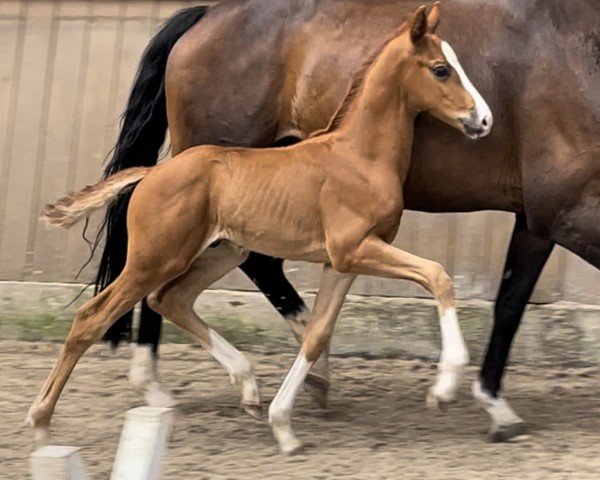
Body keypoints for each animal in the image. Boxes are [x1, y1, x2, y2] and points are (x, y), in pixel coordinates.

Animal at [27, 4, 492, 454]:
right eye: (441, 69)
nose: (484, 120)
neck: (358, 155)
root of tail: (151, 172)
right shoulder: (355, 249)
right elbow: (437, 275)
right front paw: (445, 386)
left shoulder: (342, 263)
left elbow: (316, 335)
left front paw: (283, 427)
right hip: (155, 258)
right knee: (92, 317)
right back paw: (41, 425)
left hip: (222, 251)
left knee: (170, 299)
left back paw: (248, 388)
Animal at [96, 0, 596, 440]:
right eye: (441, 69)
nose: (484, 119)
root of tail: (204, 16)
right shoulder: (565, 211)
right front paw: (458, 391)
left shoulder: (537, 219)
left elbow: (509, 302)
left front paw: (496, 407)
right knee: (174, 276)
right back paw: (160, 389)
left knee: (238, 270)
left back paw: (302, 375)